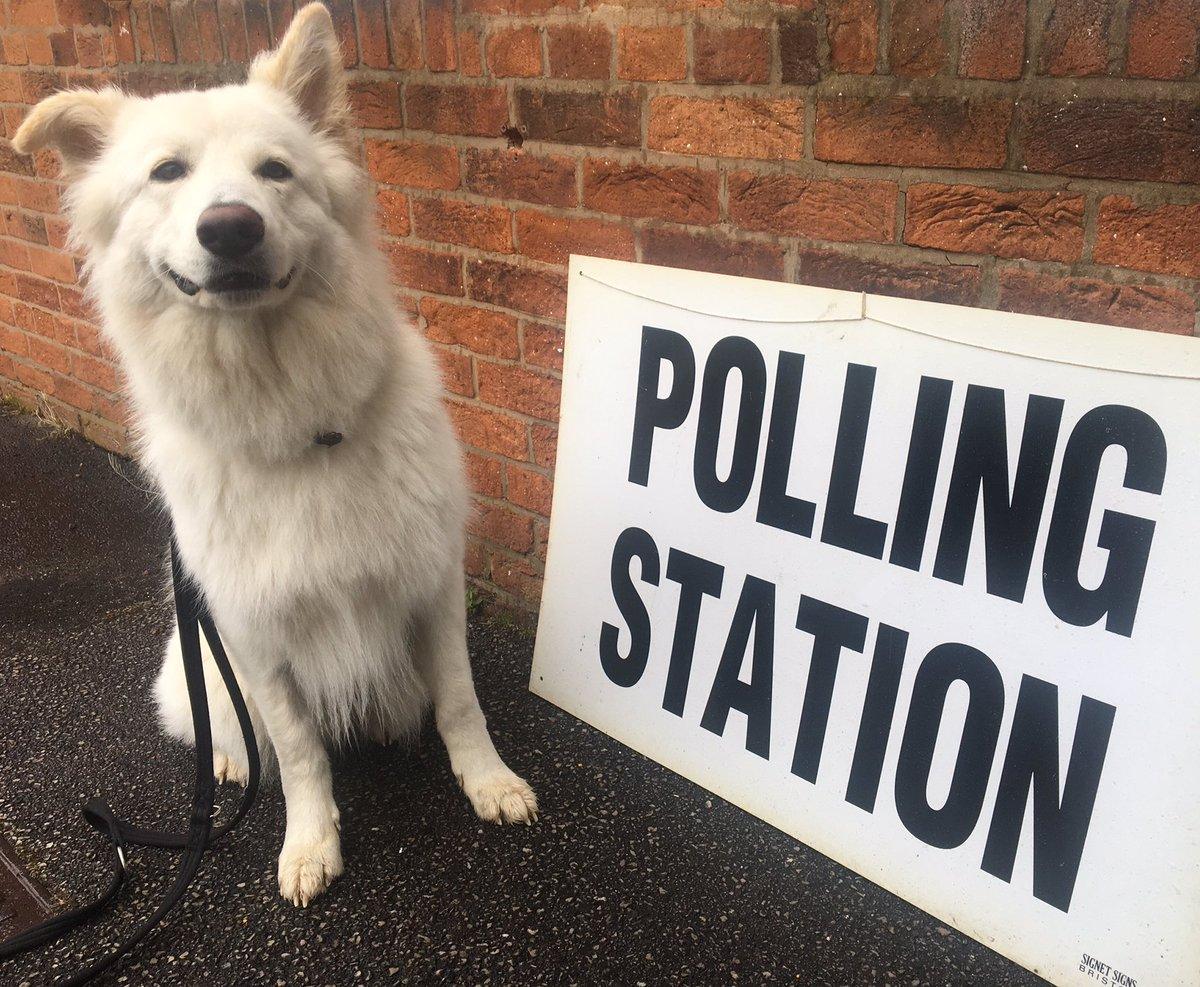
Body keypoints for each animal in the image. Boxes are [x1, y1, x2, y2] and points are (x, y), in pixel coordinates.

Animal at [11, 3, 537, 907]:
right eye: (167, 173)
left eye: (276, 171)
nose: (230, 227)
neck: (291, 421)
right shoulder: (255, 636)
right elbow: (295, 751)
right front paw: (310, 843)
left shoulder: (434, 587)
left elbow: (460, 701)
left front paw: (489, 782)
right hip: (200, 665)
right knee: (228, 729)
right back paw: (226, 762)